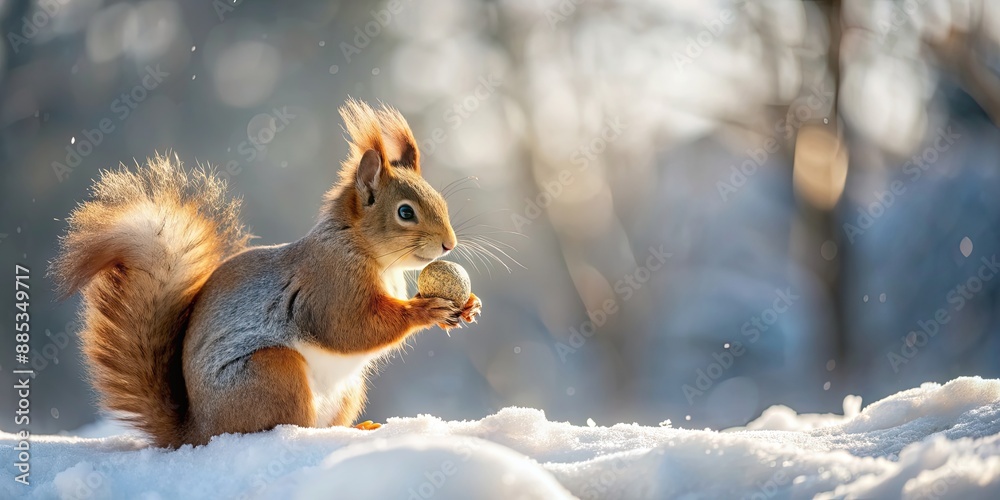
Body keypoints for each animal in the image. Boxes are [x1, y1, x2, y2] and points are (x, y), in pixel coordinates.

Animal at [52, 99, 482, 448]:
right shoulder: (329, 285)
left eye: (440, 201)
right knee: (290, 425)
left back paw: (355, 429)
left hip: (347, 390)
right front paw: (424, 310)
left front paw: (470, 305)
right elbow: (350, 328)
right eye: (405, 212)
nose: (449, 244)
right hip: (272, 371)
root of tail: (199, 431)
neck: (364, 249)